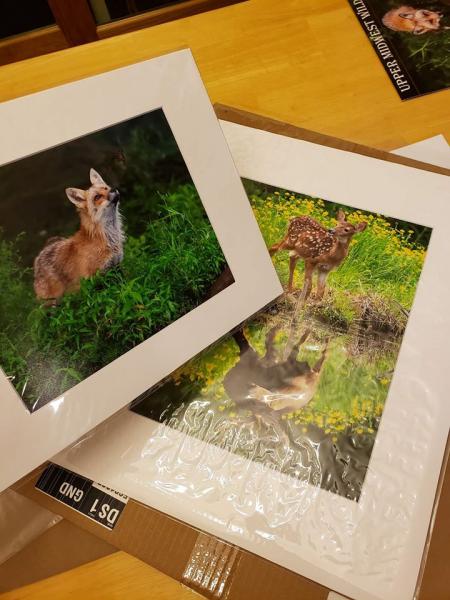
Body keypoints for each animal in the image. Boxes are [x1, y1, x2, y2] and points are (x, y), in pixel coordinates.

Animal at [33, 169, 125, 302]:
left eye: (106, 188)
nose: (114, 189)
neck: (108, 239)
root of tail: (41, 253)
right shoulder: (96, 278)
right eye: (97, 197)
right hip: (54, 301)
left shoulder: (116, 267)